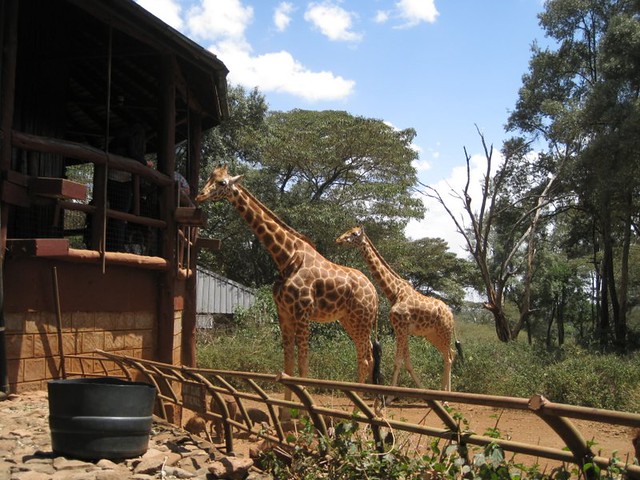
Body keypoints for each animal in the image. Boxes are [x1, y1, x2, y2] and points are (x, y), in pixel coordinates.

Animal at [195, 166, 379, 402]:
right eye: (211, 177)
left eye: (222, 183)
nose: (199, 195)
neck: (285, 257)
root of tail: (375, 294)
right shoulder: (283, 312)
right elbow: (287, 365)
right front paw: (286, 409)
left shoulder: (302, 313)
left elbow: (303, 365)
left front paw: (302, 407)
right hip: (350, 320)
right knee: (365, 356)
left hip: (362, 320)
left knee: (366, 359)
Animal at [336, 226, 462, 391]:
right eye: (348, 230)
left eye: (354, 234)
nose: (338, 240)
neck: (394, 292)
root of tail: (451, 315)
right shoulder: (402, 329)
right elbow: (407, 362)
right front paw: (421, 389)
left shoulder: (401, 328)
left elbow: (398, 362)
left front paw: (390, 394)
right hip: (432, 334)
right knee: (450, 354)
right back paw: (443, 391)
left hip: (444, 332)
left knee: (448, 356)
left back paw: (445, 394)